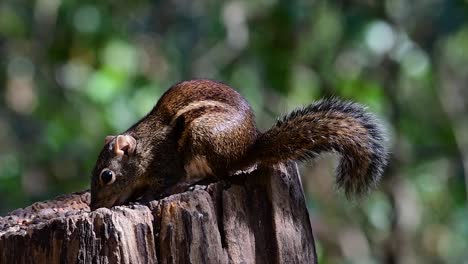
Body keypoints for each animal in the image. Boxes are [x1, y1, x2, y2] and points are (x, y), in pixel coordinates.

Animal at [88, 79, 388, 209]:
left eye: (106, 176)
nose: (94, 208)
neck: (144, 148)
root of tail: (247, 150)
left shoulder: (165, 163)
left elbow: (160, 184)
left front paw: (142, 199)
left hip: (205, 137)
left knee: (224, 175)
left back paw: (195, 183)